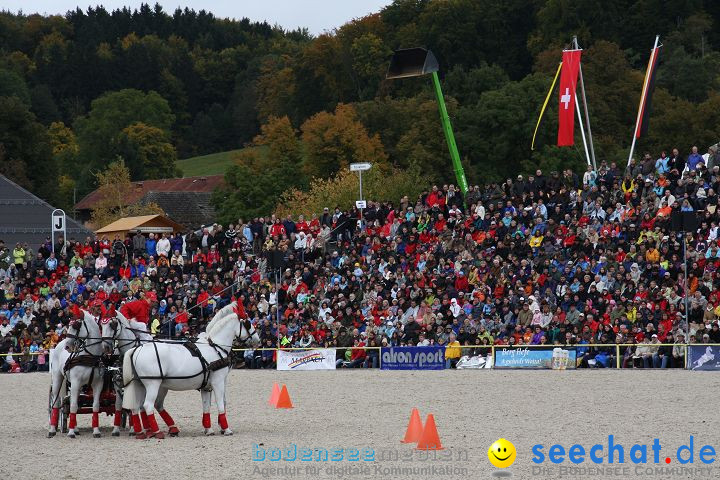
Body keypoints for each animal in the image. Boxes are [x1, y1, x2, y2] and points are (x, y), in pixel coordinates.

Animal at [123, 302, 258, 436]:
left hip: (141, 385)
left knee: (138, 405)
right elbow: (220, 403)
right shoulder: (218, 381)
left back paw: (146, 431)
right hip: (153, 384)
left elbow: (206, 406)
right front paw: (226, 429)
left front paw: (208, 429)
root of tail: (138, 348)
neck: (215, 347)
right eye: (248, 323)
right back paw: (157, 432)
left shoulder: (206, 386)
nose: (257, 339)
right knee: (148, 405)